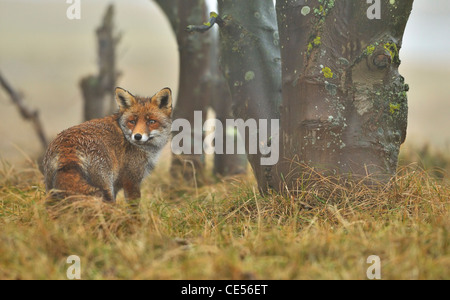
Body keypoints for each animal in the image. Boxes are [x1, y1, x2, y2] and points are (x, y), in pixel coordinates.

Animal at [42, 87, 172, 204]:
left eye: (151, 122)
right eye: (132, 121)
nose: (137, 136)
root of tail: (68, 146)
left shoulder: (117, 185)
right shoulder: (131, 181)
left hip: (50, 188)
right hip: (106, 187)